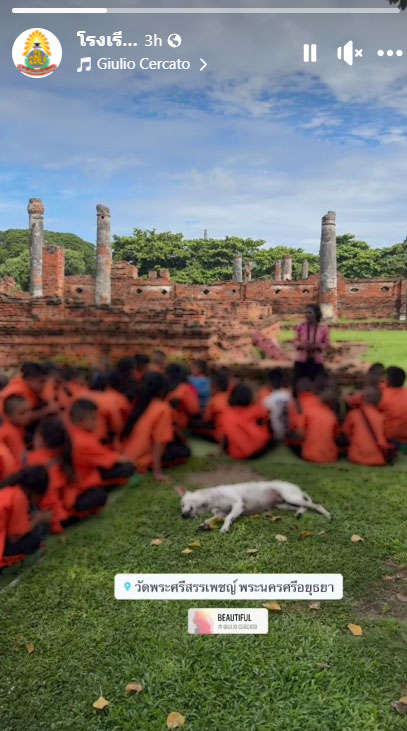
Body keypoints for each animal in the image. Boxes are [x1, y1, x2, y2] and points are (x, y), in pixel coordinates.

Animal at [175, 484, 332, 536]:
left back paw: (327, 515)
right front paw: (205, 524)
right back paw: (299, 513)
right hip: (283, 504)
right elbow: (214, 518)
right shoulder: (220, 513)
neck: (212, 498)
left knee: (315, 505)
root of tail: (296, 487)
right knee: (303, 507)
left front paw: (224, 528)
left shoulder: (238, 505)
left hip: (290, 497)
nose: (182, 515)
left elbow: (228, 517)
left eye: (182, 504)